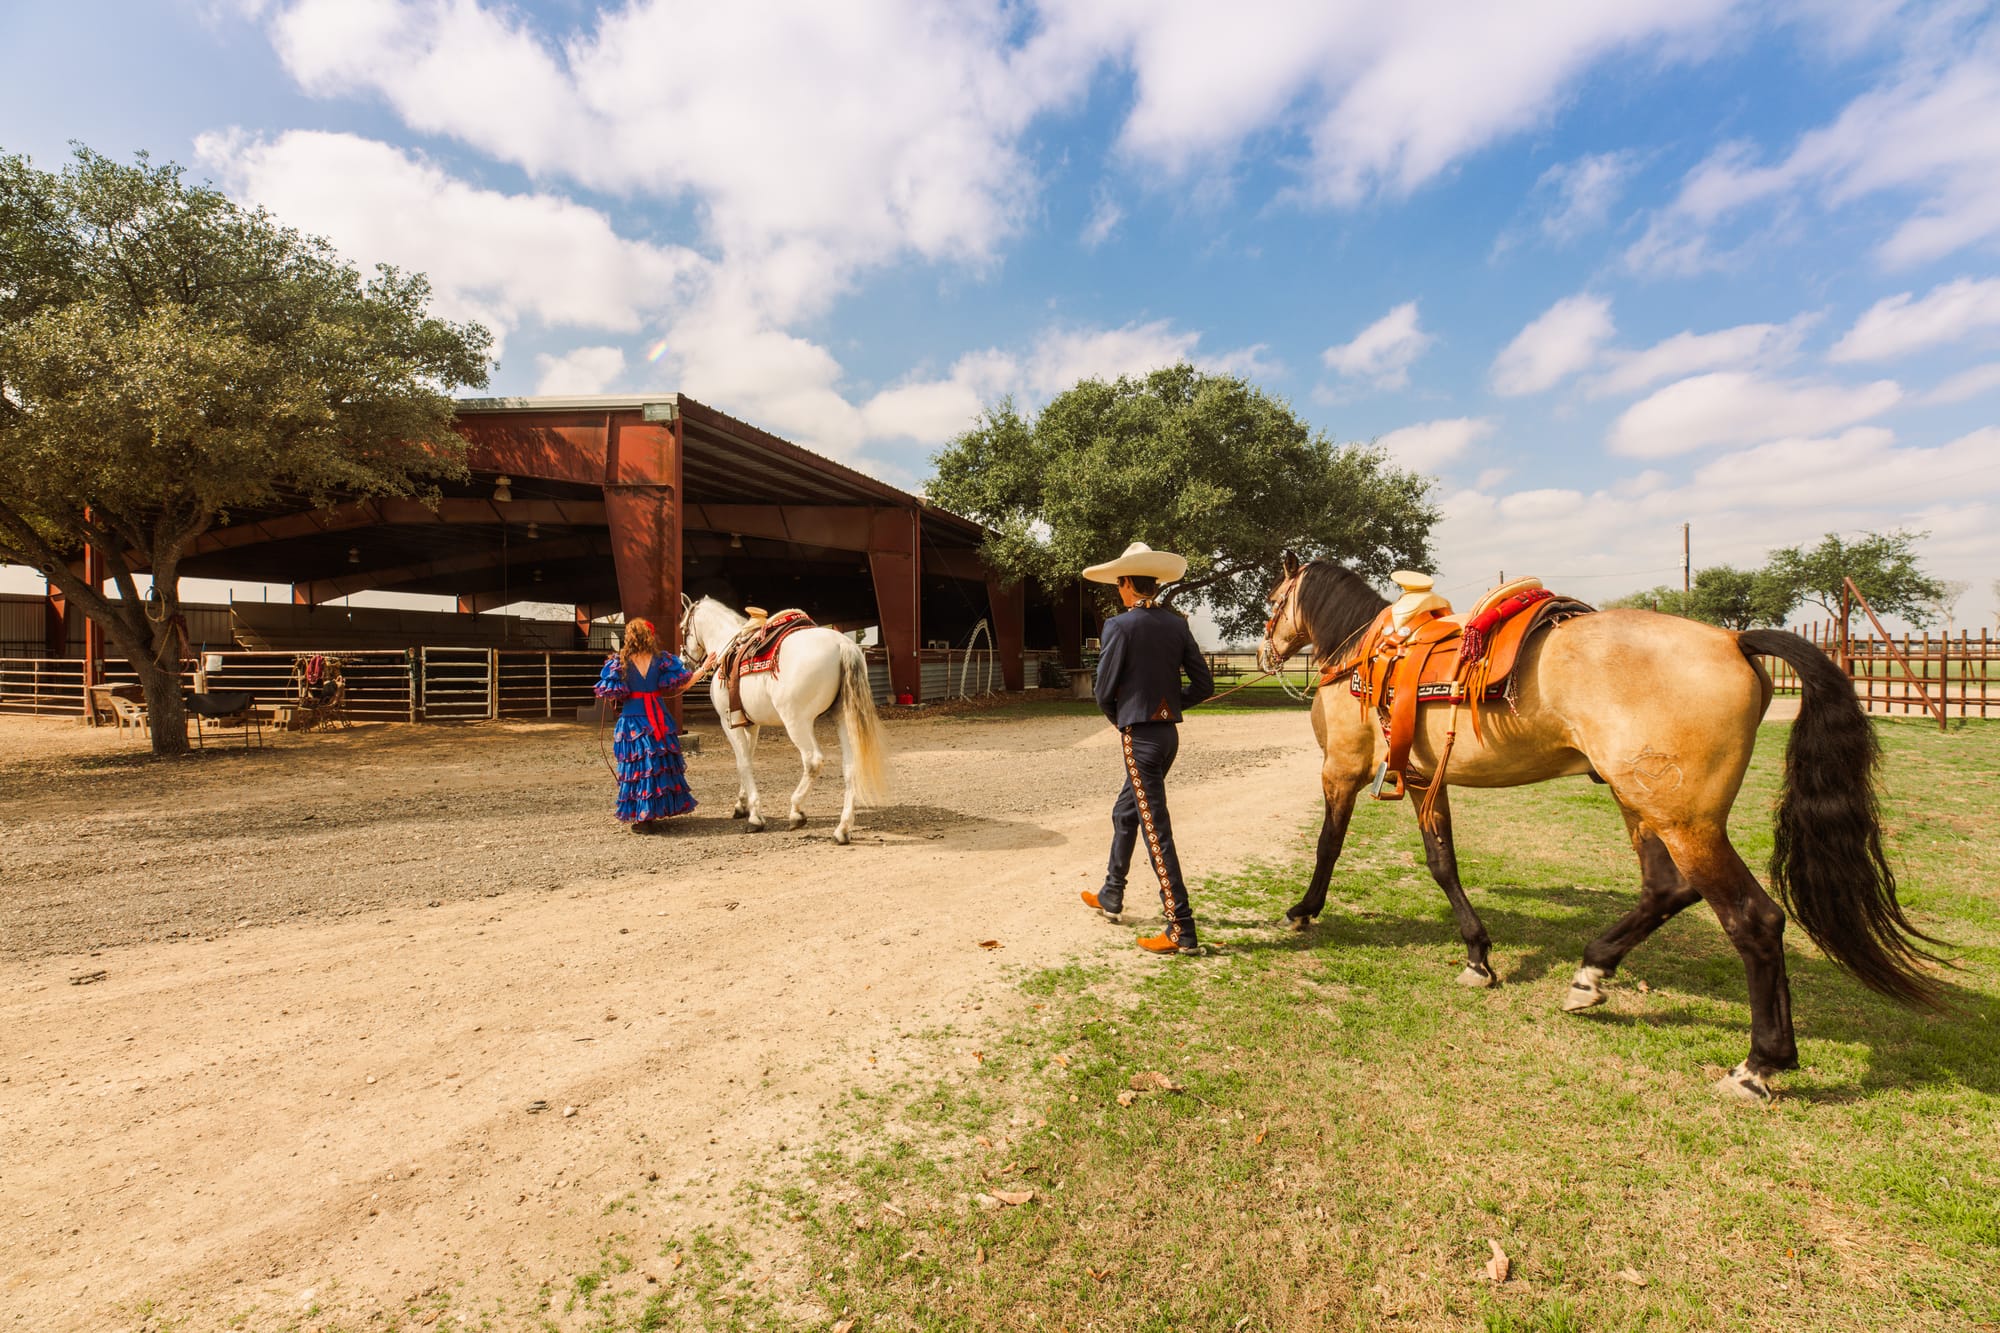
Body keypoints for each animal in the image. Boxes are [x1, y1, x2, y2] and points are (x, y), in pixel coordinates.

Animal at [677, 596, 888, 845]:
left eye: (682, 628)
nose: (684, 663)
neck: (726, 646)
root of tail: (841, 645)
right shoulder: (751, 724)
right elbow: (747, 759)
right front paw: (742, 805)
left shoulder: (728, 722)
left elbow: (742, 763)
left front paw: (755, 817)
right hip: (842, 718)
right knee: (851, 765)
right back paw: (842, 829)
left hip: (797, 722)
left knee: (813, 760)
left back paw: (796, 811)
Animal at [1259, 554, 1942, 1101]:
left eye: (1272, 600)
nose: (1266, 651)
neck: (1364, 654)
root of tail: (1733, 640)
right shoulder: (1427, 779)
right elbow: (1442, 861)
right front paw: (1478, 956)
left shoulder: (1343, 769)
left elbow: (1329, 846)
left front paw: (1304, 911)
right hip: (1645, 807)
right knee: (1667, 890)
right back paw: (1591, 974)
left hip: (1684, 822)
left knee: (1754, 920)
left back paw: (1756, 1066)